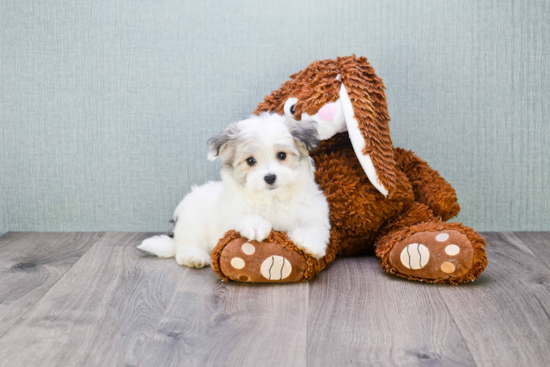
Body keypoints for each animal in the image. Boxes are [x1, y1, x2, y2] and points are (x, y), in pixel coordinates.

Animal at [140, 112, 334, 268]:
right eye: (250, 161)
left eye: (282, 155)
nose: (270, 177)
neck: (272, 198)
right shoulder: (228, 218)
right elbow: (242, 216)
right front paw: (256, 226)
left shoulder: (314, 210)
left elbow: (314, 225)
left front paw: (310, 242)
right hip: (192, 226)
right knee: (185, 246)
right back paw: (194, 257)